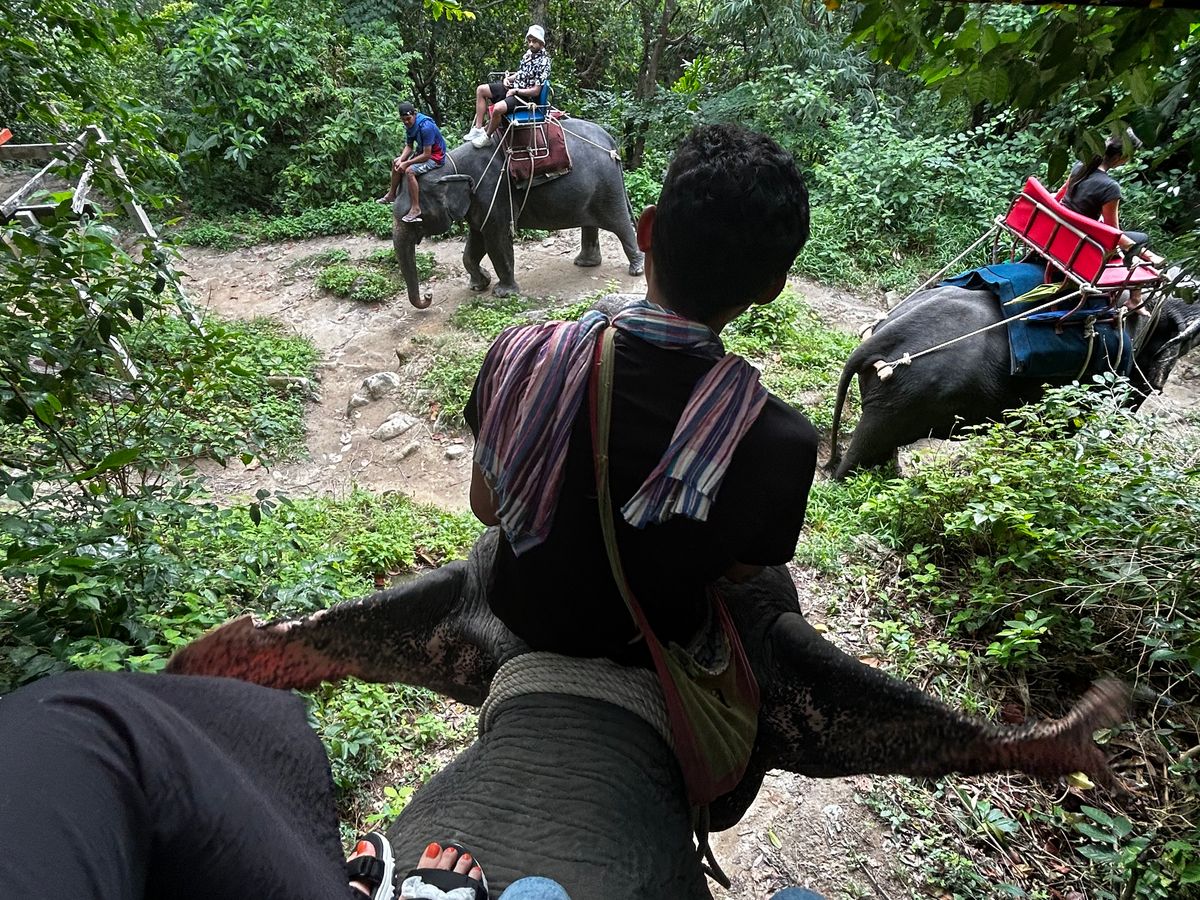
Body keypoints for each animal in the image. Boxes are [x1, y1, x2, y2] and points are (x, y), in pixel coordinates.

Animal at [392, 119, 645, 309]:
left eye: (416, 220)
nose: (428, 296)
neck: (450, 164)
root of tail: (610, 140)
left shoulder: (495, 192)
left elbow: (497, 241)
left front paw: (503, 293)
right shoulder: (478, 201)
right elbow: (475, 243)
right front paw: (479, 285)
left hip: (608, 186)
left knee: (620, 223)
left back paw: (636, 269)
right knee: (591, 222)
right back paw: (585, 263)